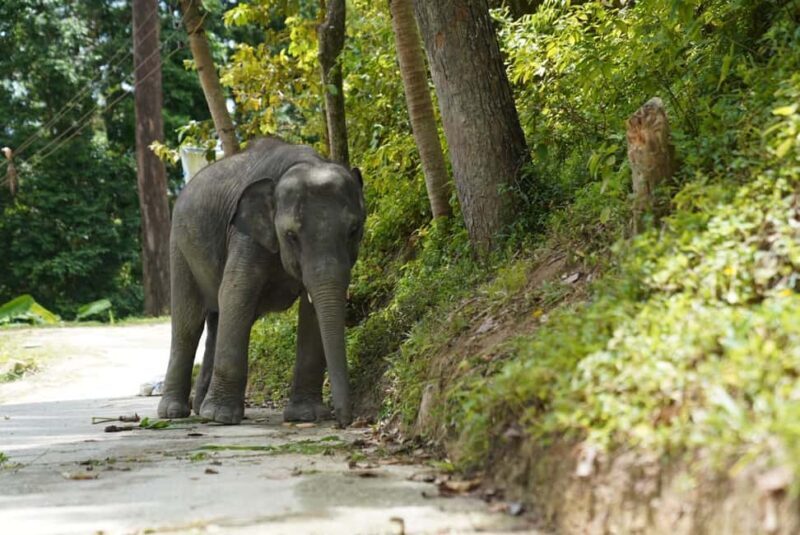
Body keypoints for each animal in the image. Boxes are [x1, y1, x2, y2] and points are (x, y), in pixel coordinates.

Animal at [157, 138, 365, 427]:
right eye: (290, 235)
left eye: (354, 231)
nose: (345, 422)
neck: (306, 163)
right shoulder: (245, 236)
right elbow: (236, 293)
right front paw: (222, 418)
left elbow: (311, 311)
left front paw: (306, 416)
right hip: (179, 247)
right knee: (188, 324)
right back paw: (176, 413)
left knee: (216, 320)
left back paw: (201, 409)